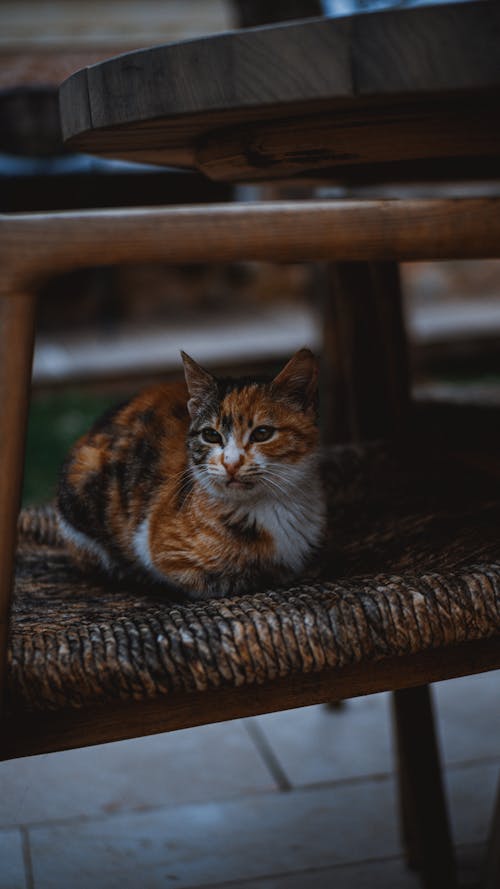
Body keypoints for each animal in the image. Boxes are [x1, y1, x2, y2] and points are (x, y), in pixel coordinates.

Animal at [56, 346, 326, 596]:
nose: (231, 463)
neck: (267, 504)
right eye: (210, 435)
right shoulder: (159, 548)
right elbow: (227, 580)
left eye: (262, 433)